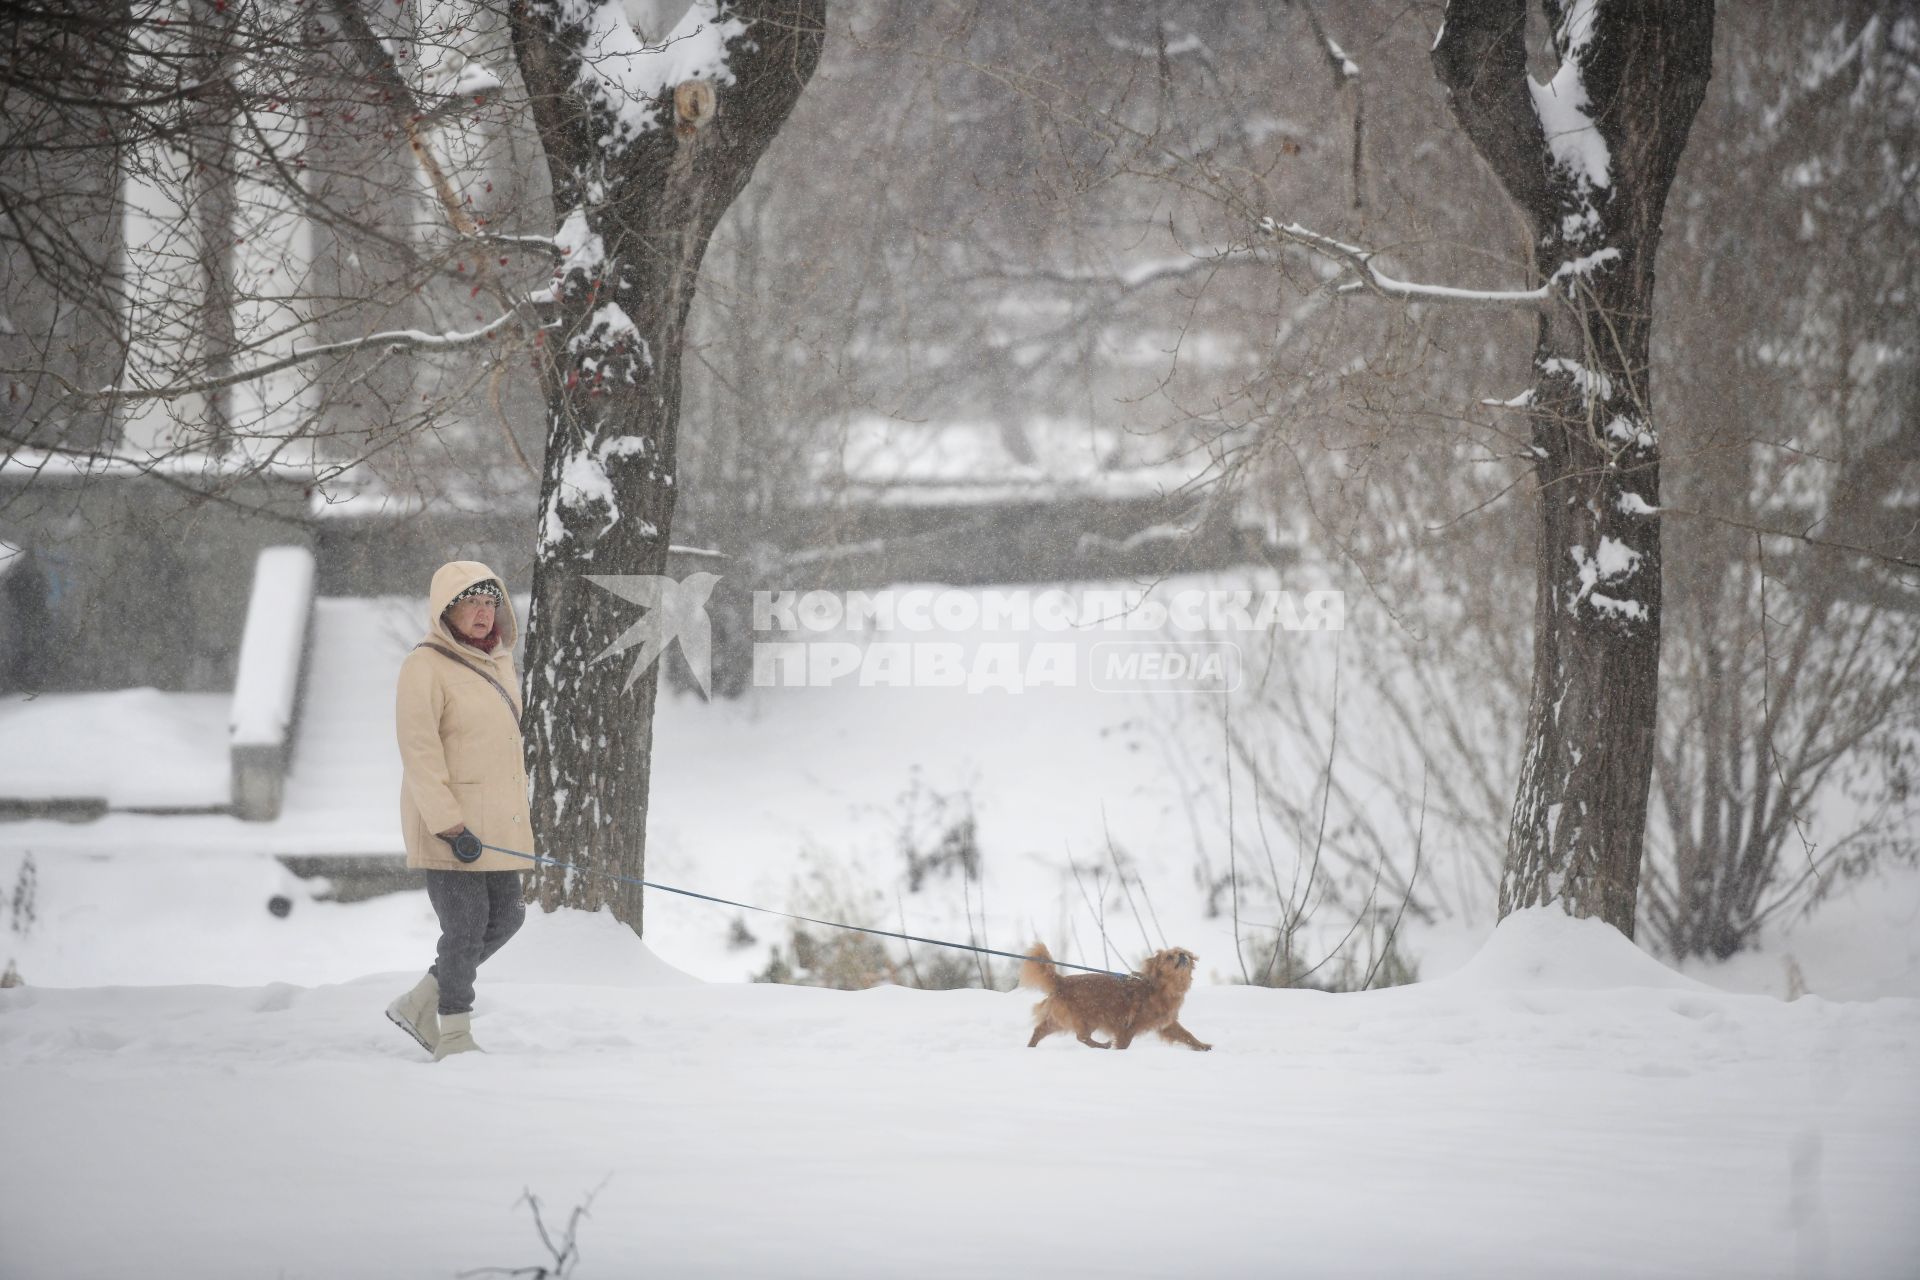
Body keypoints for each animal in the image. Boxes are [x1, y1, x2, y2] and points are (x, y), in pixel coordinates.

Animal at [1021, 940, 1213, 1051]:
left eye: (1184, 953)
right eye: (1169, 957)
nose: (1182, 955)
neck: (1159, 989)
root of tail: (1061, 981)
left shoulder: (1167, 1024)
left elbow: (1187, 1034)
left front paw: (1202, 1045)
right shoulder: (1127, 1027)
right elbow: (1124, 1043)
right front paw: (1119, 1053)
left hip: (1060, 1020)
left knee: (1040, 1030)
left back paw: (1030, 1049)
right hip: (1087, 1019)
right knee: (1081, 1037)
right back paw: (1102, 1045)